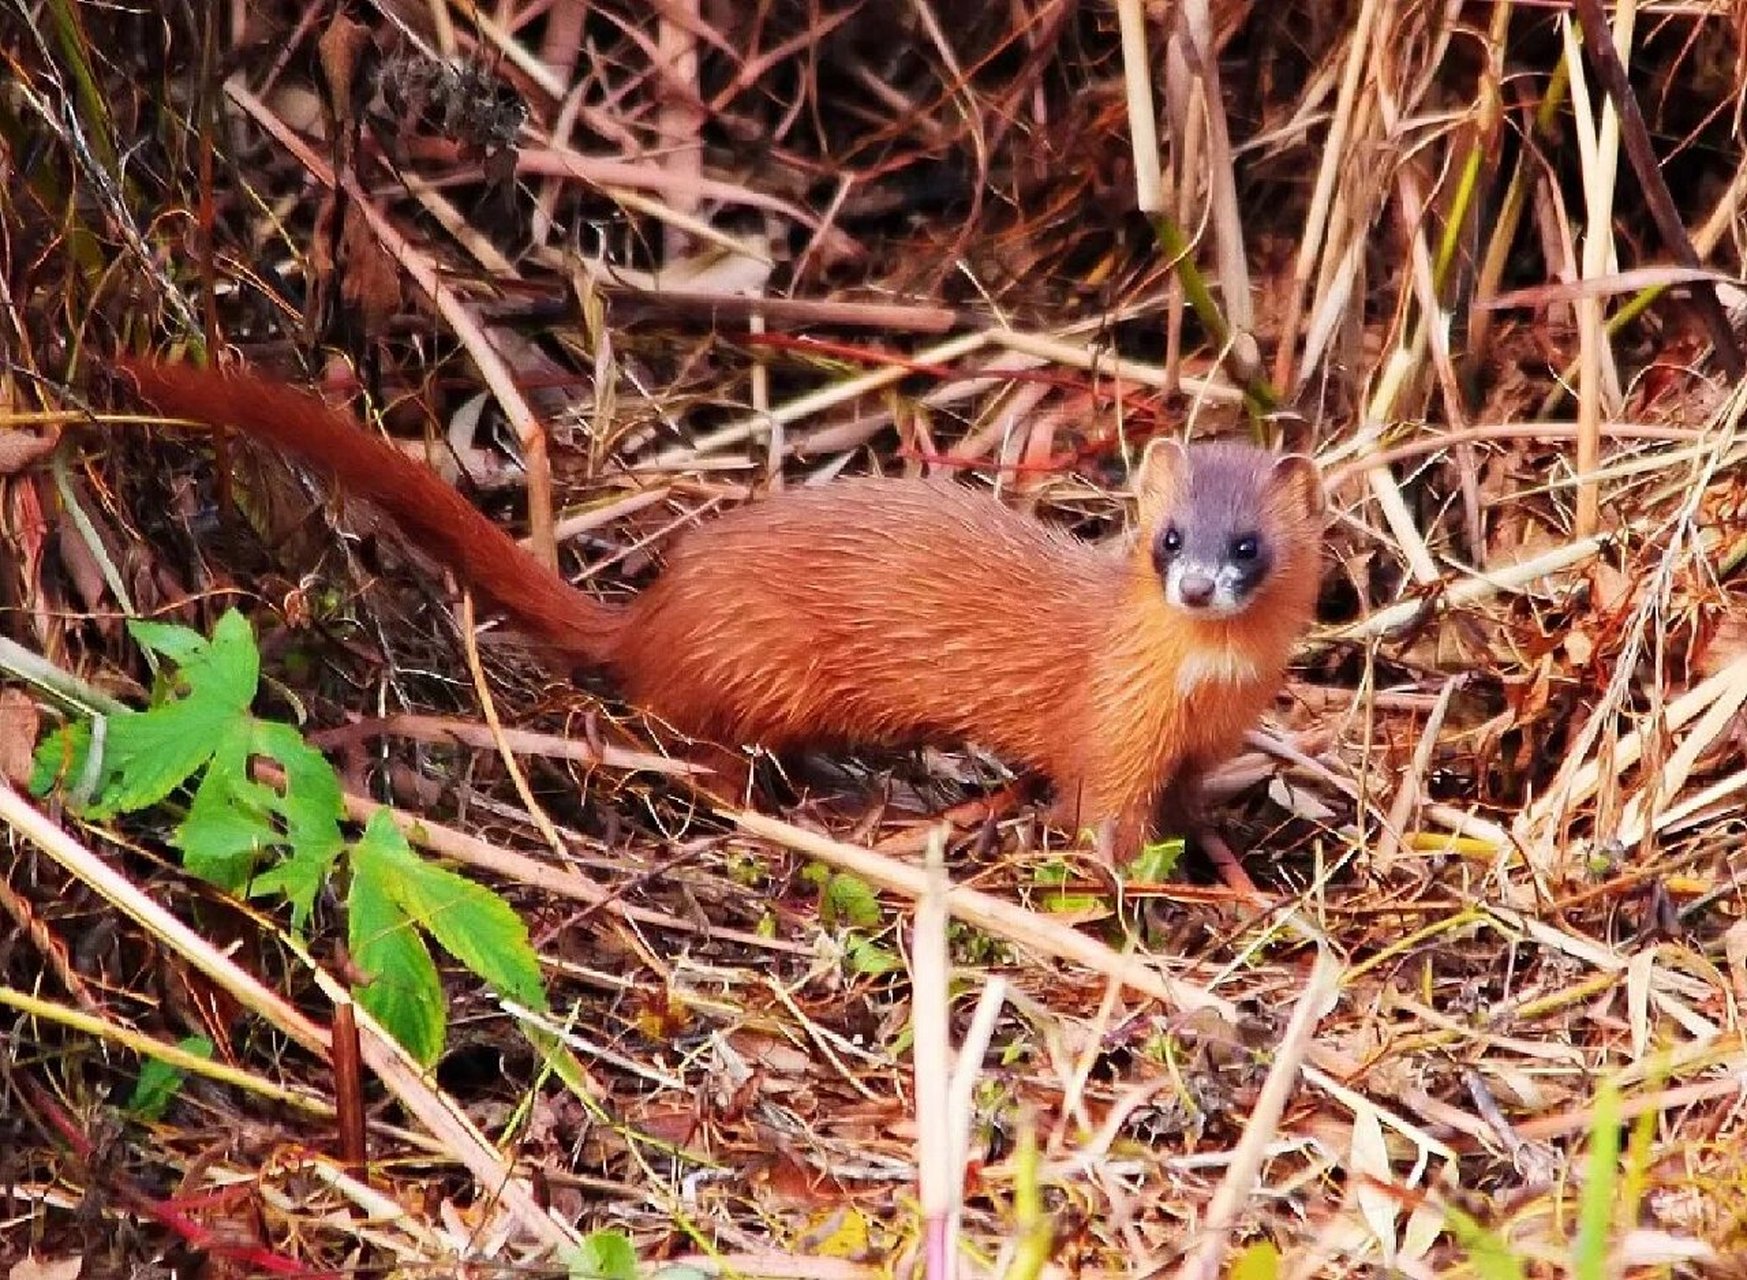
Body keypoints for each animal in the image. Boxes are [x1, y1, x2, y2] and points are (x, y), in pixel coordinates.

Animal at [119, 354, 1320, 862]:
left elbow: (1193, 808)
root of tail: (656, 608)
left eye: (1246, 545)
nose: (1197, 583)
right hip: (755, 672)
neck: (1203, 688)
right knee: (697, 745)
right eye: (1167, 538)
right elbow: (1100, 820)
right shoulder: (1111, 733)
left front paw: (1228, 871)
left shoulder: (1201, 745)